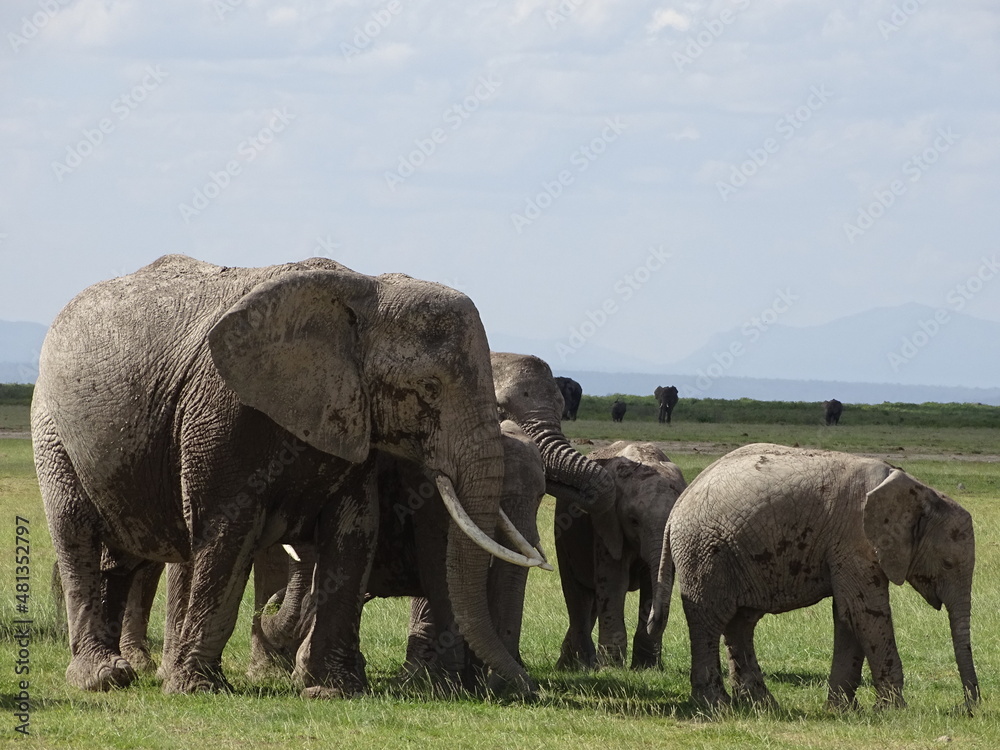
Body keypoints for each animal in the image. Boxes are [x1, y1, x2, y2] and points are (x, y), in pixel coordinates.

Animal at [31, 254, 553, 697]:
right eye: (428, 387)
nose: (528, 690)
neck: (364, 289)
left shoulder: (352, 414)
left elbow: (354, 529)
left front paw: (333, 690)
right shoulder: (222, 410)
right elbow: (228, 530)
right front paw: (198, 690)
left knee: (117, 557)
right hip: (50, 425)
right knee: (75, 532)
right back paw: (102, 678)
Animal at [555, 442, 685, 670]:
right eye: (634, 521)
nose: (653, 621)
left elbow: (652, 584)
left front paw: (647, 668)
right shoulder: (607, 524)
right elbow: (615, 582)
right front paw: (611, 668)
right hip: (563, 536)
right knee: (577, 595)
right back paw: (579, 666)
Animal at [650, 443, 979, 711]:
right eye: (948, 563)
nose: (967, 708)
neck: (921, 491)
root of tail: (676, 509)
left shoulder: (846, 548)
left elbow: (847, 614)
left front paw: (842, 711)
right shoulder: (854, 539)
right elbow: (866, 612)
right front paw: (893, 712)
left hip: (736, 554)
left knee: (740, 623)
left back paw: (762, 705)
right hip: (704, 550)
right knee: (709, 620)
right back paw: (717, 704)